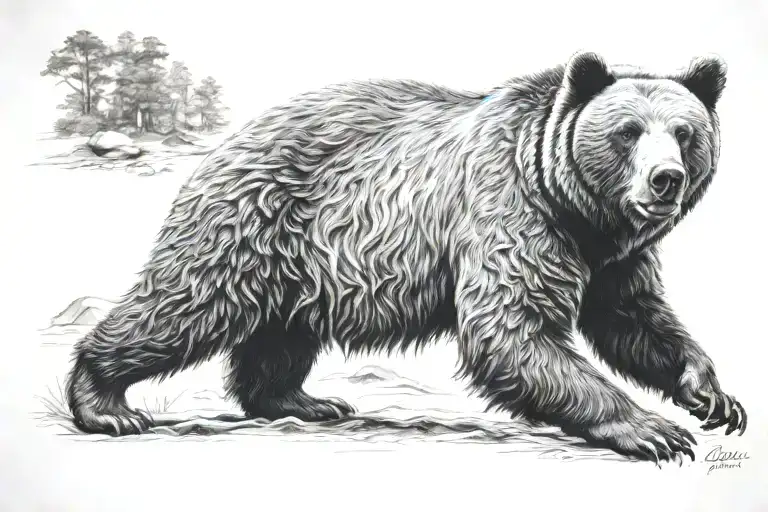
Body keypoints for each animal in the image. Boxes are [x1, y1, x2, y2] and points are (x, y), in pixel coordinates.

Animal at [66, 50, 747, 463]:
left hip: (302, 261)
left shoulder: (610, 255)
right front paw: (652, 430)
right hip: (249, 226)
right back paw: (105, 403)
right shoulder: (511, 213)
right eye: (628, 131)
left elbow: (632, 316)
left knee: (282, 335)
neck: (577, 207)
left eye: (685, 132)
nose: (665, 179)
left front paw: (711, 395)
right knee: (185, 306)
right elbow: (513, 330)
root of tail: (226, 144)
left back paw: (304, 401)